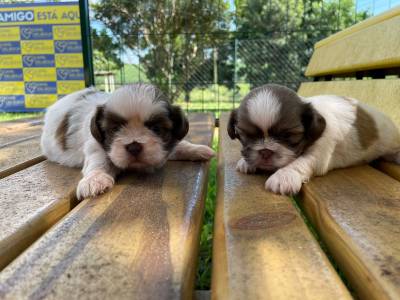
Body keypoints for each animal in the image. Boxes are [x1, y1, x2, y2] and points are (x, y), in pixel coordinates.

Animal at [41, 82, 216, 199]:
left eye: (156, 129)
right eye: (114, 129)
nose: (134, 146)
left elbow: (178, 145)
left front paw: (196, 149)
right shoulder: (95, 146)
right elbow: (99, 162)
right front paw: (94, 179)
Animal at [228, 84, 400, 196]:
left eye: (287, 135)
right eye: (247, 136)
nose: (265, 151)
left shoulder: (320, 152)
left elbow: (301, 162)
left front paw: (284, 176)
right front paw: (246, 162)